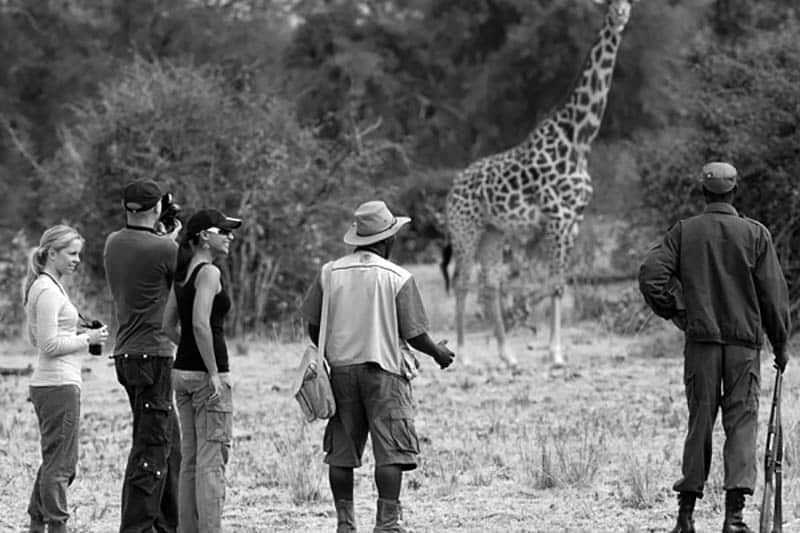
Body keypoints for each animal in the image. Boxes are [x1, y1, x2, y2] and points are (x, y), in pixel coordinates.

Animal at [444, 0, 636, 366]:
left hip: (493, 231)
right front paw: (555, 353)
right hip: (465, 229)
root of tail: (451, 189)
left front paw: (554, 350)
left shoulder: (575, 219)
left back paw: (507, 355)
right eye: (606, 4)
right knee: (462, 282)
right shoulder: (557, 217)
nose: (620, 14)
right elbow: (556, 284)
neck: (580, 139)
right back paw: (462, 354)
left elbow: (560, 282)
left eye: (628, 1)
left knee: (490, 284)